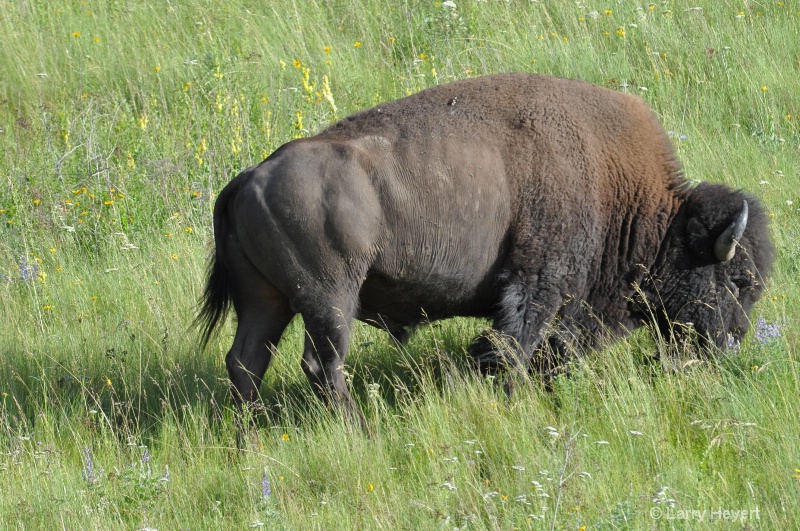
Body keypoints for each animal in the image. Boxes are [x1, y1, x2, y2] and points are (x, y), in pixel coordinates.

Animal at [198, 74, 776, 424]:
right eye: (738, 280)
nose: (733, 343)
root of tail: (248, 178)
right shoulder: (537, 286)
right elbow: (514, 347)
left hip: (266, 302)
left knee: (246, 363)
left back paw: (247, 442)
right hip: (329, 299)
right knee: (323, 367)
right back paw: (359, 431)